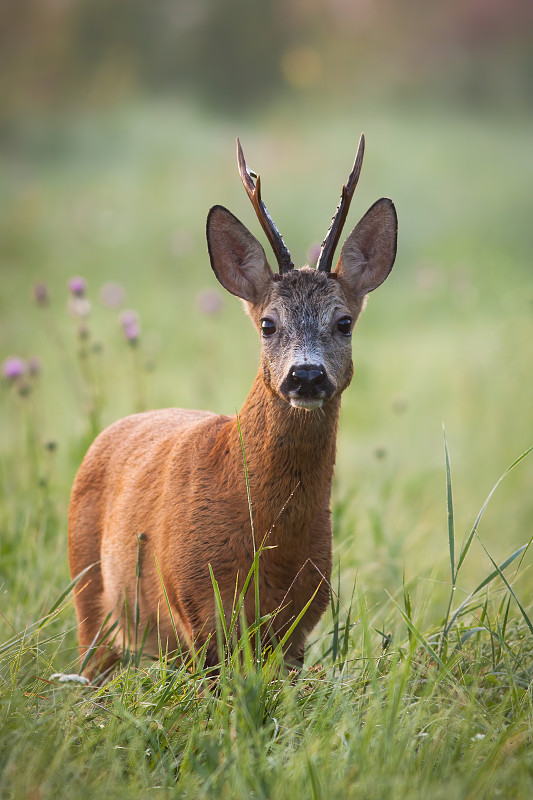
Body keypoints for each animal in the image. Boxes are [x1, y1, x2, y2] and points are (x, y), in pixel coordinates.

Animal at [67, 134, 394, 680]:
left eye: (344, 322)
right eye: (268, 323)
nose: (306, 375)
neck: (268, 536)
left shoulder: (299, 625)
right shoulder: (196, 608)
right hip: (88, 593)